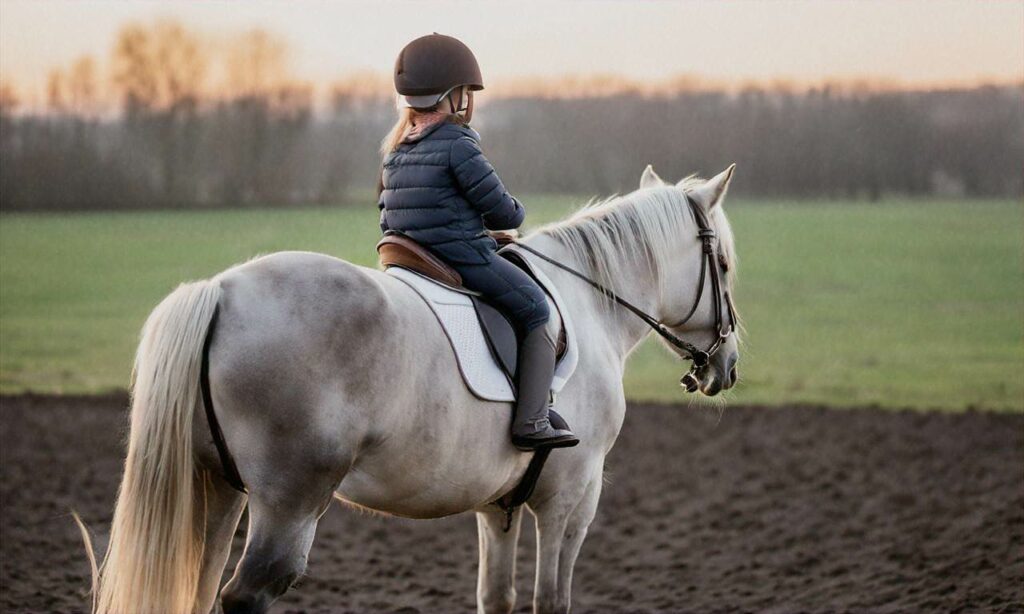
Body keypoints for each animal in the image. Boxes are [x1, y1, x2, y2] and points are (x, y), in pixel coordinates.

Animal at [86, 164, 737, 614]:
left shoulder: (496, 505)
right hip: (288, 503)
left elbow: (497, 598)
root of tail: (220, 292)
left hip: (218, 488)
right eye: (725, 266)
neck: (587, 303)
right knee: (247, 593)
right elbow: (551, 601)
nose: (725, 366)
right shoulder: (571, 498)